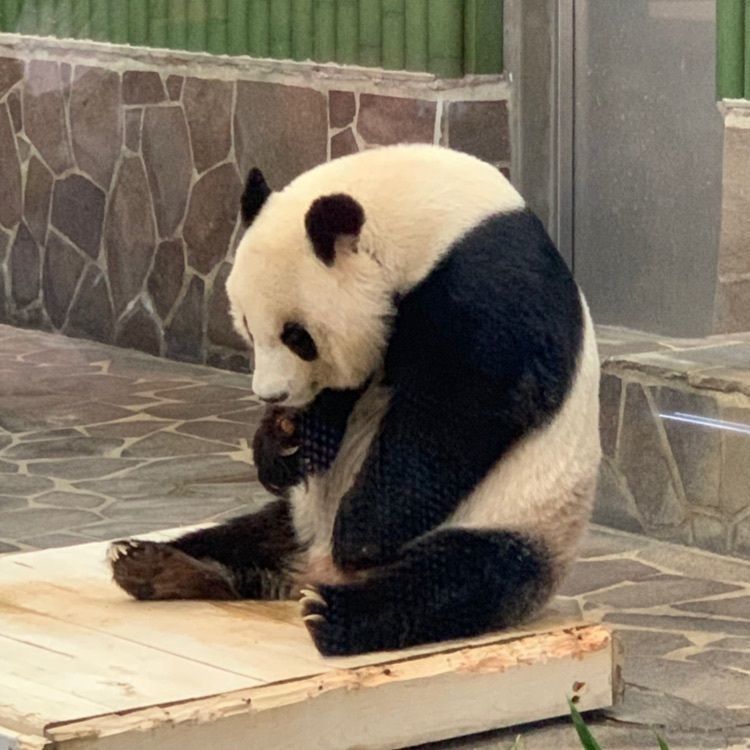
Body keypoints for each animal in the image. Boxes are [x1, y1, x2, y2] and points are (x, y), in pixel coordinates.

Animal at [111, 142, 604, 656]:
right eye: (247, 325)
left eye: (297, 336)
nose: (272, 394)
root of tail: (307, 571)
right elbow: (337, 407)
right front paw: (282, 443)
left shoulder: (487, 283)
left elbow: (464, 403)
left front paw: (359, 533)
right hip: (299, 516)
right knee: (252, 533)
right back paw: (155, 565)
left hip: (521, 519)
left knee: (460, 576)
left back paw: (333, 613)